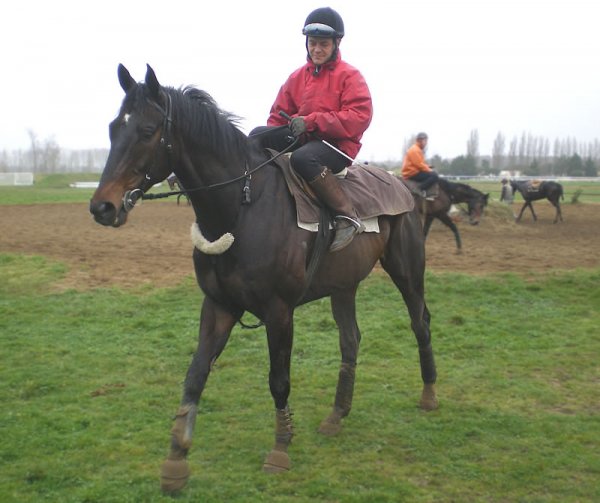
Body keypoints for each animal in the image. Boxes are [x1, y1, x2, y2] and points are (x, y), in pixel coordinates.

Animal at [89, 65, 438, 494]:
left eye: (148, 130)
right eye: (113, 128)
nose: (102, 206)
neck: (243, 206)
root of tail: (404, 185)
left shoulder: (279, 311)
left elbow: (279, 379)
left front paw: (280, 448)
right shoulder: (218, 306)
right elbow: (195, 375)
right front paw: (176, 460)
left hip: (408, 271)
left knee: (420, 323)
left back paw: (429, 394)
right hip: (344, 286)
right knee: (351, 339)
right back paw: (336, 415)